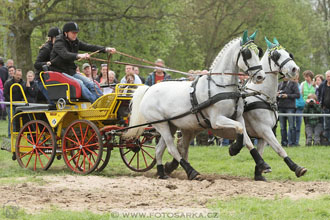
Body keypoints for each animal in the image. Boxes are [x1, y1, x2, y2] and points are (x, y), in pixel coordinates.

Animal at [124, 30, 270, 180]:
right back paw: (191, 172)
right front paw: (234, 149)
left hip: (170, 124)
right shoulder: (216, 120)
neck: (222, 86)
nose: (260, 77)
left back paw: (162, 173)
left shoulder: (238, 116)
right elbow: (240, 129)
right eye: (247, 53)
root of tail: (148, 89)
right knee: (171, 148)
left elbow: (246, 138)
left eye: (258, 52)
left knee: (159, 150)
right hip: (161, 124)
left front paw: (262, 164)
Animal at [240, 36, 306, 180]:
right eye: (276, 55)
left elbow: (260, 151)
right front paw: (296, 167)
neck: (262, 96)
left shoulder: (263, 133)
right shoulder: (264, 129)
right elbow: (279, 149)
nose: (295, 69)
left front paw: (259, 174)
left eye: (289, 53)